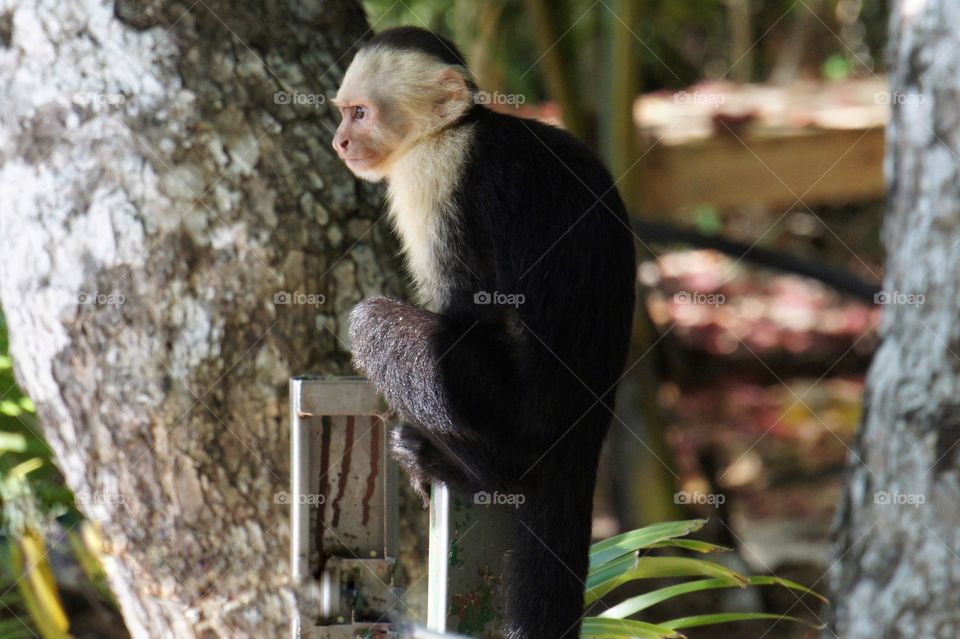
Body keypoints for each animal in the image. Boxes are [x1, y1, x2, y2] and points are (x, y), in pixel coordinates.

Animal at [332, 27, 635, 639]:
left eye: (360, 113)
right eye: (342, 112)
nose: (339, 142)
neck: (455, 128)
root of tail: (586, 426)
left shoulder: (435, 175)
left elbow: (472, 313)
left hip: (513, 418)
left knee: (375, 325)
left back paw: (456, 466)